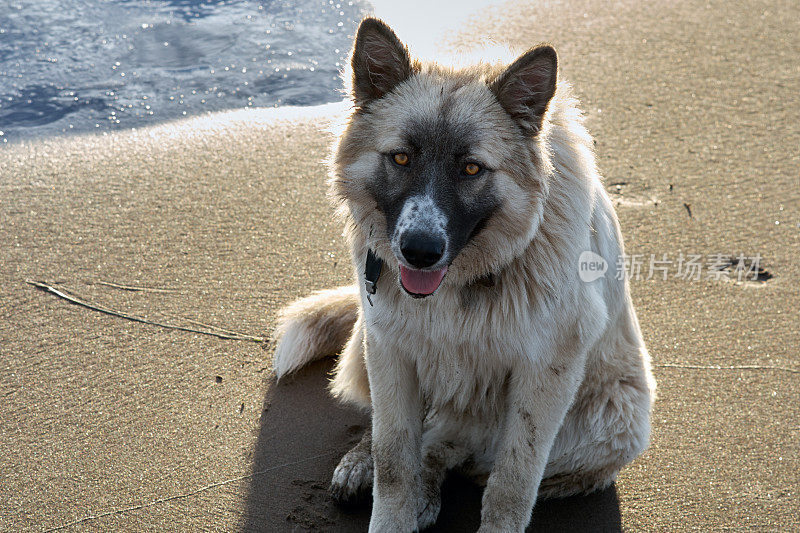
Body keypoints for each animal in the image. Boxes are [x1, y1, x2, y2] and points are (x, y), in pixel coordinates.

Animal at [276, 17, 656, 532]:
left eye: (472, 168)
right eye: (401, 158)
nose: (419, 252)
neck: (468, 280)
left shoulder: (545, 375)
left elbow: (511, 483)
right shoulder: (391, 349)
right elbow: (393, 461)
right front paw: (390, 501)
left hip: (611, 423)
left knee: (450, 448)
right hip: (368, 345)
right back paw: (364, 466)